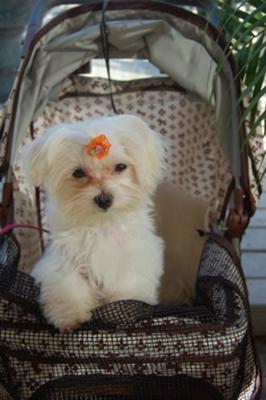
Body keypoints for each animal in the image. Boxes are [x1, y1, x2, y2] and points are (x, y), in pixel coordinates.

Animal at [23, 113, 164, 332]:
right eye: (78, 173)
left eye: (120, 167)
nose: (104, 199)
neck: (100, 225)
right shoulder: (64, 260)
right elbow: (67, 285)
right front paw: (69, 316)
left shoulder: (132, 262)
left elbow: (127, 287)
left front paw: (123, 311)